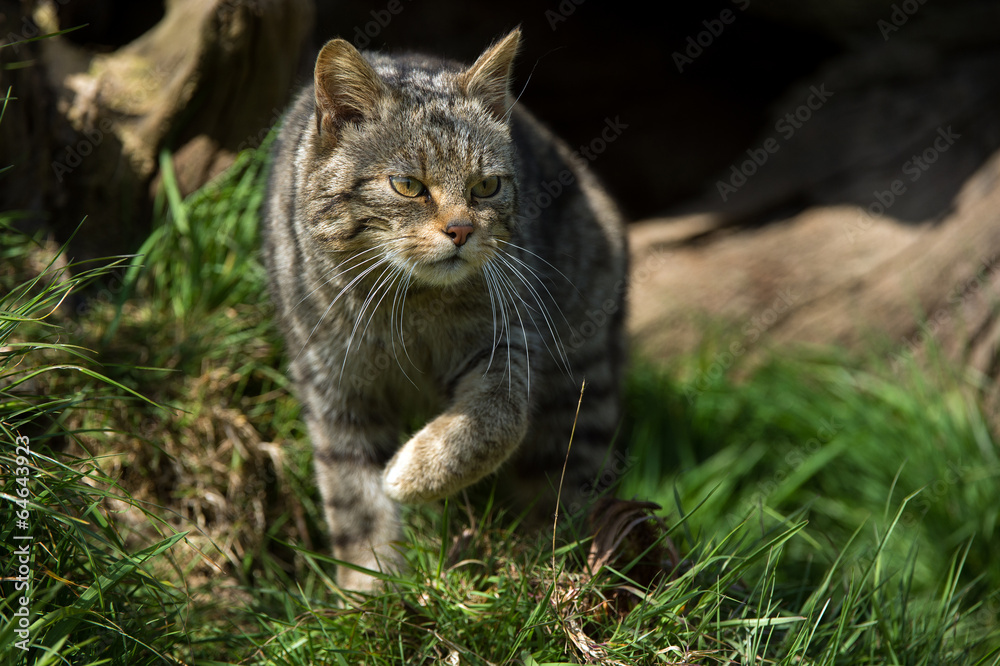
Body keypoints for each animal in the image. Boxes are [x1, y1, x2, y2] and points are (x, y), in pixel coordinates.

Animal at [262, 28, 628, 588]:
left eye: (486, 186)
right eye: (408, 185)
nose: (461, 230)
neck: (410, 307)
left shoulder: (508, 340)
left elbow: (493, 423)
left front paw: (411, 475)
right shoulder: (331, 381)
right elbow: (354, 499)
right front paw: (370, 588)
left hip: (580, 383)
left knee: (568, 487)